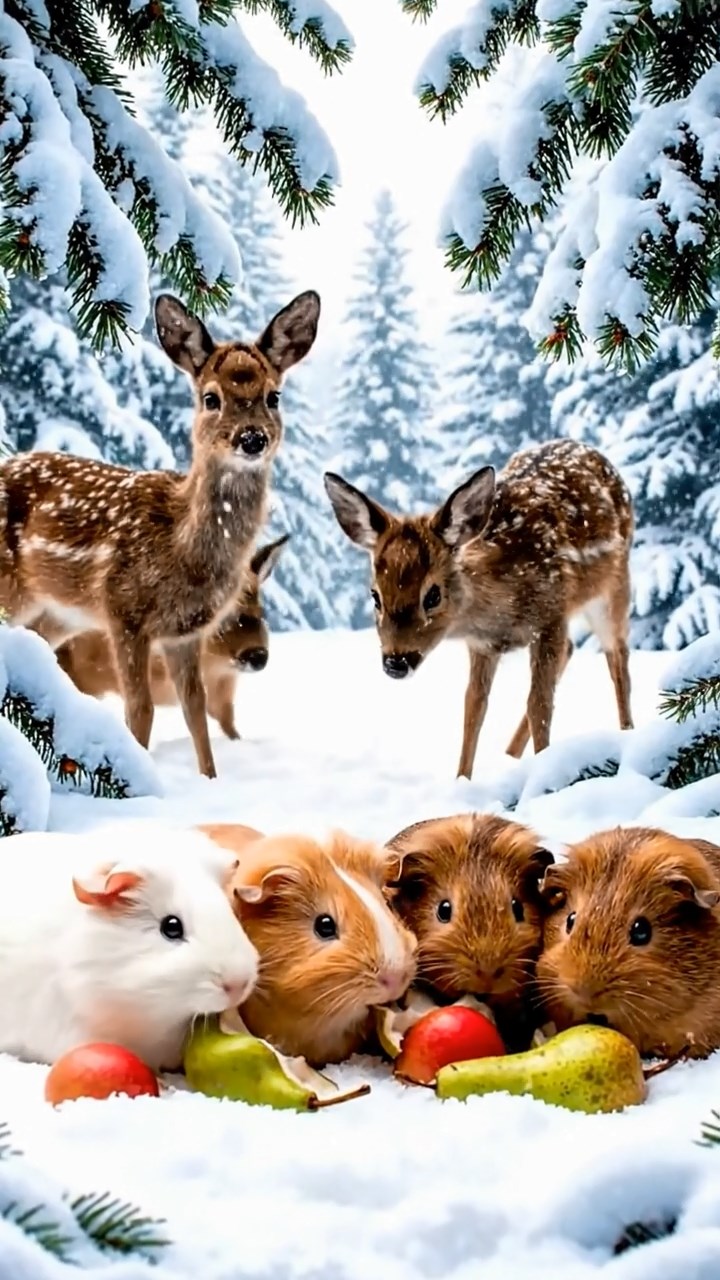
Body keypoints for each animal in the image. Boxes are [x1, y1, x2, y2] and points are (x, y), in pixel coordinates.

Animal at [324, 438, 635, 780]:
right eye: (375, 596)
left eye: (432, 595)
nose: (395, 662)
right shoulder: (482, 644)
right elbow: (473, 708)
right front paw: (462, 780)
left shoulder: (550, 616)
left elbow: (539, 704)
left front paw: (546, 774)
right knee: (572, 649)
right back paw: (509, 756)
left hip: (613, 586)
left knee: (618, 660)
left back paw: (628, 737)